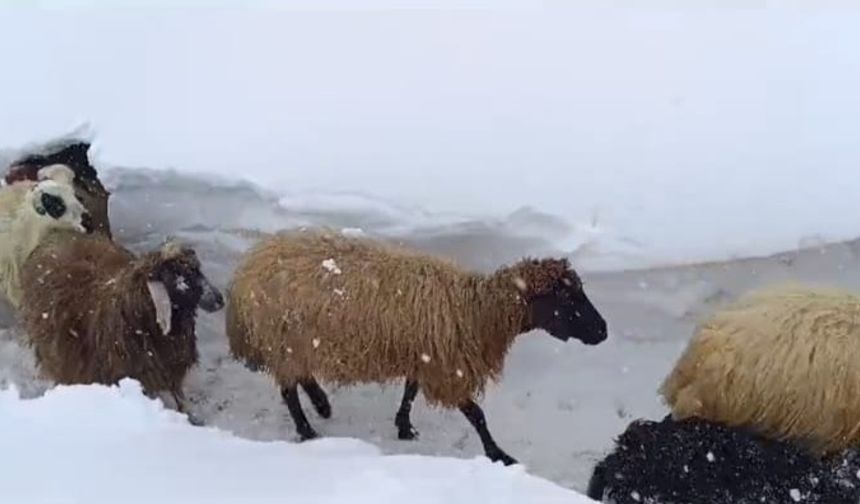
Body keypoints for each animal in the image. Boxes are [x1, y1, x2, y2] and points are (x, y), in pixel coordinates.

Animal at [225, 228, 608, 464]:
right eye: (567, 296)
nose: (603, 331)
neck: (476, 310)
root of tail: (247, 268)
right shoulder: (446, 367)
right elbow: (476, 415)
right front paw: (498, 454)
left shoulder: (424, 354)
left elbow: (410, 389)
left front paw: (404, 426)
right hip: (285, 340)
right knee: (288, 390)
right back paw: (307, 431)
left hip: (295, 343)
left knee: (300, 378)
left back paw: (322, 404)